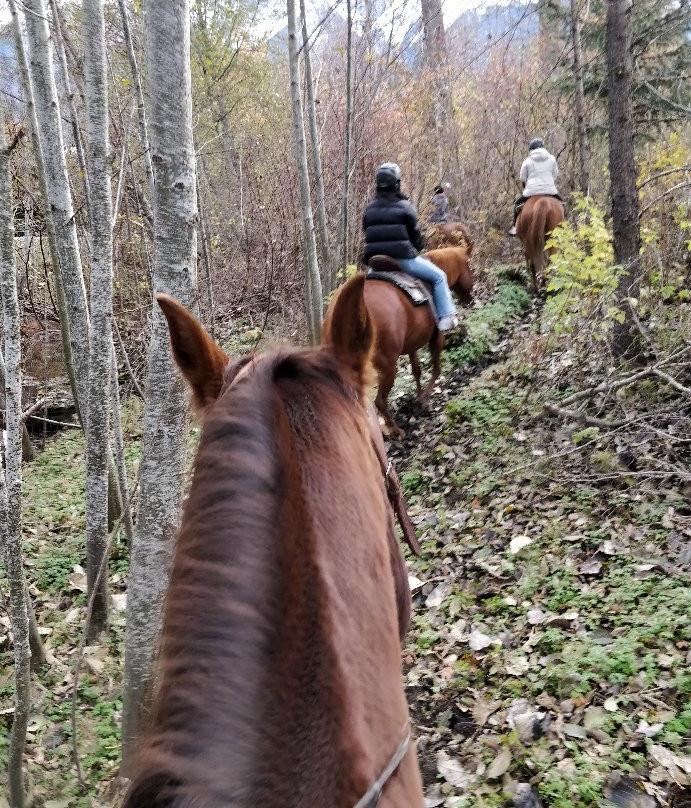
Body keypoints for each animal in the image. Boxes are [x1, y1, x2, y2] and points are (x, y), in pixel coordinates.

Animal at [364, 246, 474, 438]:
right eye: (468, 264)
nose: (471, 296)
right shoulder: (437, 337)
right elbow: (436, 369)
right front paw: (424, 399)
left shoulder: (412, 345)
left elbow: (416, 371)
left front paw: (419, 395)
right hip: (388, 367)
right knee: (380, 401)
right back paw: (395, 430)